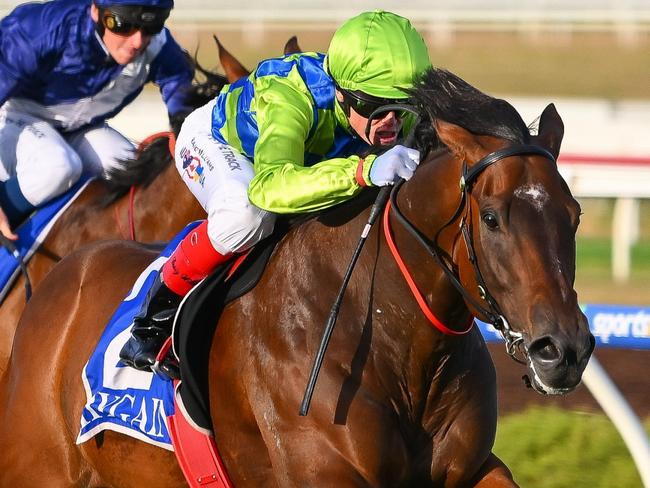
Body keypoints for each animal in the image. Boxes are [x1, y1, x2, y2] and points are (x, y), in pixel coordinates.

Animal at [0, 67, 592, 484]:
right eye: (491, 218)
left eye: (575, 215)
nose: (563, 349)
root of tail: (64, 277)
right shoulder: (322, 470)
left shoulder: (472, 469)